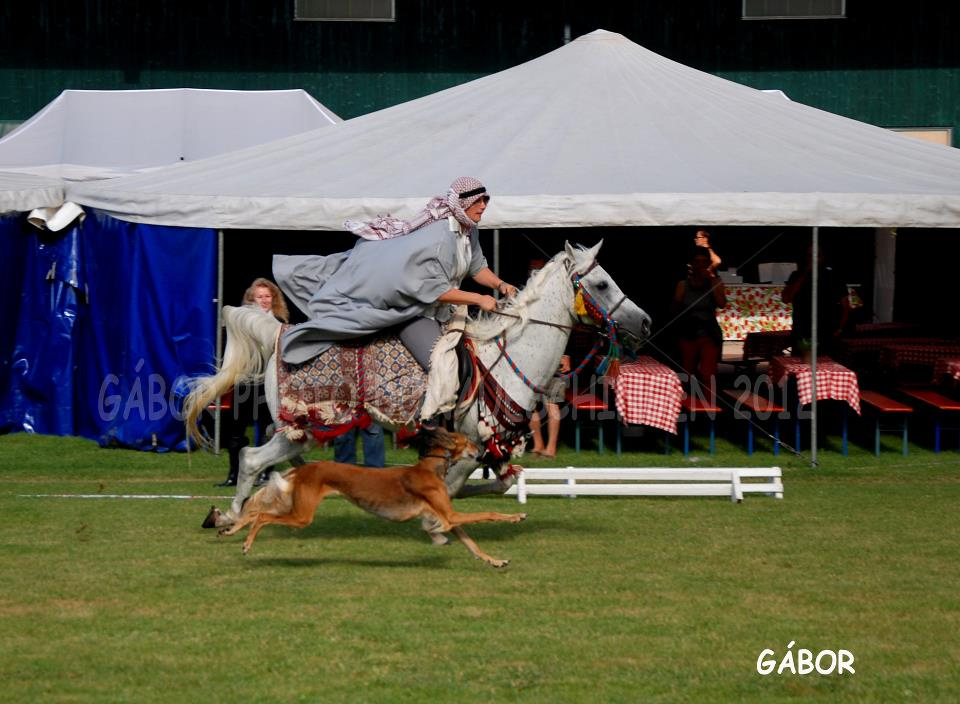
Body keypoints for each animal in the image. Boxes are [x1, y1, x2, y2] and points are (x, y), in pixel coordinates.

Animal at [184, 242, 648, 540]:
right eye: (601, 284)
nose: (644, 323)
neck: (507, 356)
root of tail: (281, 332)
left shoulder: (488, 448)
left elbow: (495, 485)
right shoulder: (470, 442)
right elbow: (454, 490)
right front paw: (434, 525)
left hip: (301, 432)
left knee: (264, 458)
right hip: (306, 425)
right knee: (250, 458)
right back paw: (229, 517)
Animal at [218, 426, 528, 568]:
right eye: (468, 441)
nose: (483, 452)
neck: (430, 468)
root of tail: (306, 468)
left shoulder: (446, 518)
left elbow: (472, 544)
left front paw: (495, 561)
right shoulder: (449, 516)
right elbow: (489, 514)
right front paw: (517, 516)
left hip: (297, 508)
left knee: (256, 512)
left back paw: (232, 529)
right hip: (302, 515)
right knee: (261, 515)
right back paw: (245, 542)